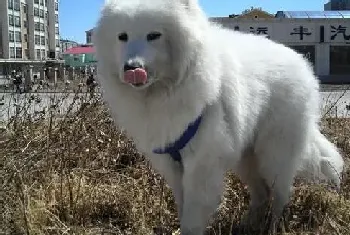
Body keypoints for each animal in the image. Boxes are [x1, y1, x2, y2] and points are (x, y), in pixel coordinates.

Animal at [93, 0, 344, 234]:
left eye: (153, 35)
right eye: (122, 37)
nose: (131, 68)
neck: (164, 92)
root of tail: (302, 63)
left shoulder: (201, 164)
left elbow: (193, 216)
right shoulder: (173, 165)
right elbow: (182, 206)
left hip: (274, 153)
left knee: (281, 194)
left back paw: (273, 227)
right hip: (246, 157)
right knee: (262, 194)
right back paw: (247, 225)